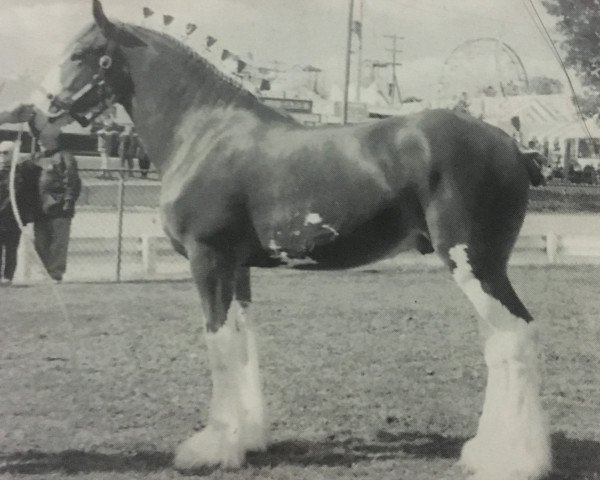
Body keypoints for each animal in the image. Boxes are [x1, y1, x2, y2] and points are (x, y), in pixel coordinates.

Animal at [29, 1, 552, 478]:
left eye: (83, 53)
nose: (36, 112)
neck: (204, 132)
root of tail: (513, 147)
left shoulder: (208, 260)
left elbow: (219, 345)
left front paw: (212, 448)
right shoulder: (237, 267)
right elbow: (243, 342)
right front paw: (247, 438)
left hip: (475, 263)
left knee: (515, 336)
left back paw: (513, 460)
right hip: (478, 268)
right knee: (498, 340)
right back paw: (486, 450)